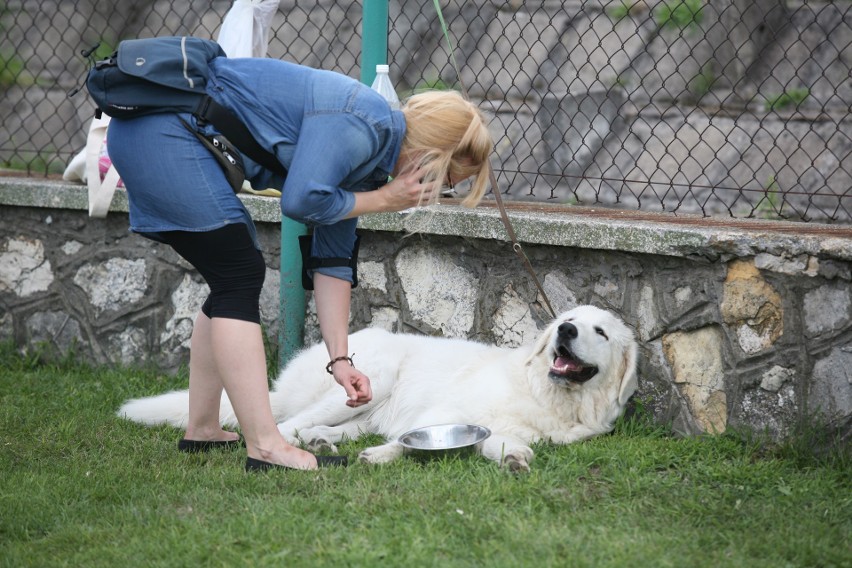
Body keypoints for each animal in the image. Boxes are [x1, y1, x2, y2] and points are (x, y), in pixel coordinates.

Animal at [120, 304, 640, 472]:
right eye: (568, 320)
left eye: (599, 331)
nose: (565, 331)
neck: (551, 397)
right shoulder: (442, 414)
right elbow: (411, 442)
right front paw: (385, 457)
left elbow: (500, 443)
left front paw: (514, 459)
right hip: (370, 377)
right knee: (284, 425)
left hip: (363, 409)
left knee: (323, 429)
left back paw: (323, 444)